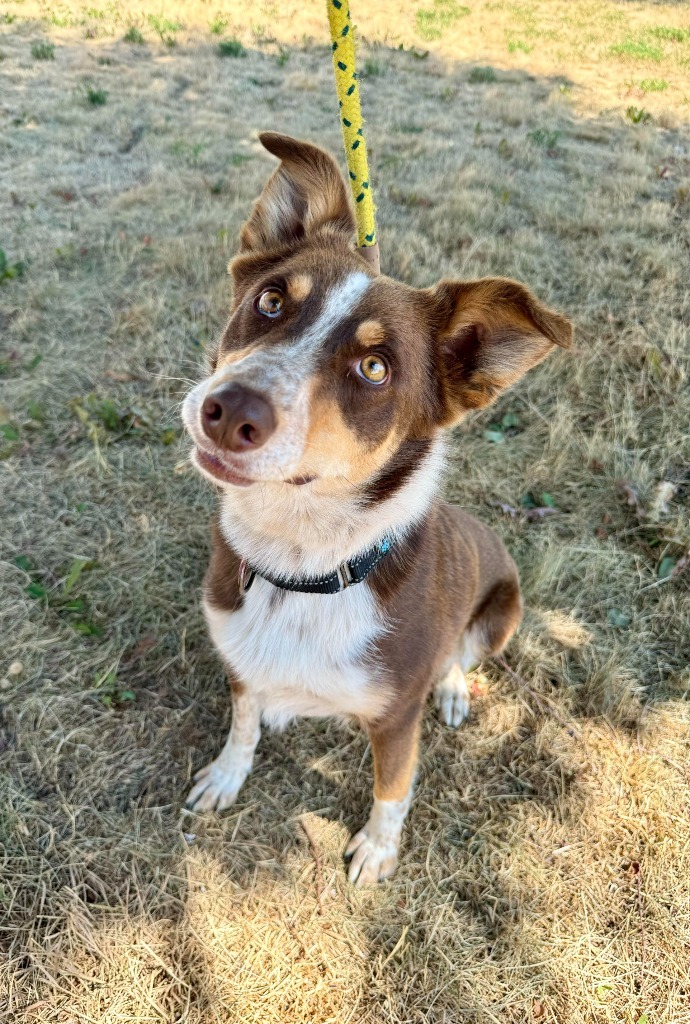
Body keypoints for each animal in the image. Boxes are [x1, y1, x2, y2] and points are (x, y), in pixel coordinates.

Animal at [179, 134, 569, 888]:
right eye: (271, 300)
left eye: (375, 369)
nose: (230, 411)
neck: (302, 568)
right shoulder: (239, 659)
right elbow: (242, 723)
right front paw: (227, 773)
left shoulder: (394, 719)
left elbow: (393, 787)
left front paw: (377, 852)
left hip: (502, 612)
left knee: (461, 659)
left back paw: (454, 691)